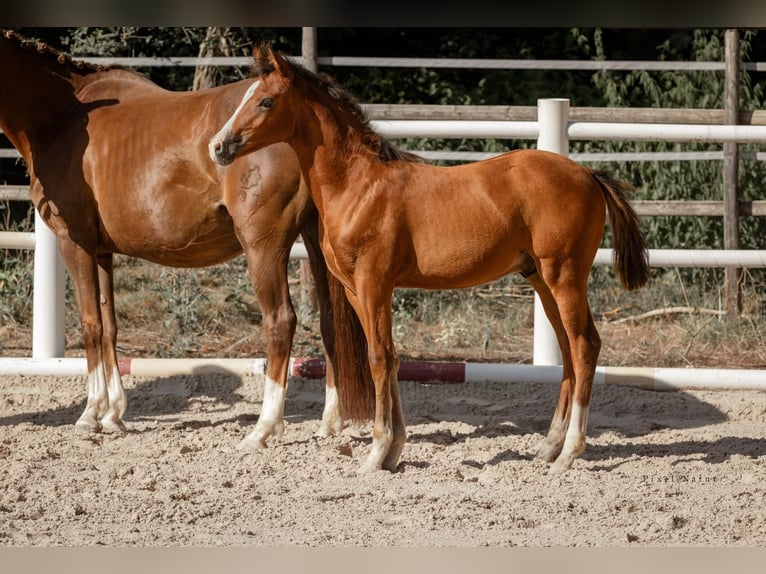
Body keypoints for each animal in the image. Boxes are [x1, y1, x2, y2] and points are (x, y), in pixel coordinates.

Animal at [0, 29, 372, 448]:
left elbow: (90, 324)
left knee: (280, 322)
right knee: (330, 324)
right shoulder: (102, 251)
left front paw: (90, 414)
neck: (62, 117)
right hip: (318, 244)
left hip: (263, 246)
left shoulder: (74, 241)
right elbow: (109, 325)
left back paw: (263, 429)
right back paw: (330, 423)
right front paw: (113, 415)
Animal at [212, 44, 656, 476]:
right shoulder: (358, 291)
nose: (218, 146)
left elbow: (378, 358)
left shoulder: (374, 284)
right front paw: (393, 452)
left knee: (584, 347)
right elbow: (390, 356)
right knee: (568, 352)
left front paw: (375, 454)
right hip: (542, 280)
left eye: (266, 101)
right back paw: (548, 448)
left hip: (564, 276)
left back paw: (569, 453)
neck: (358, 186)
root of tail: (589, 176)